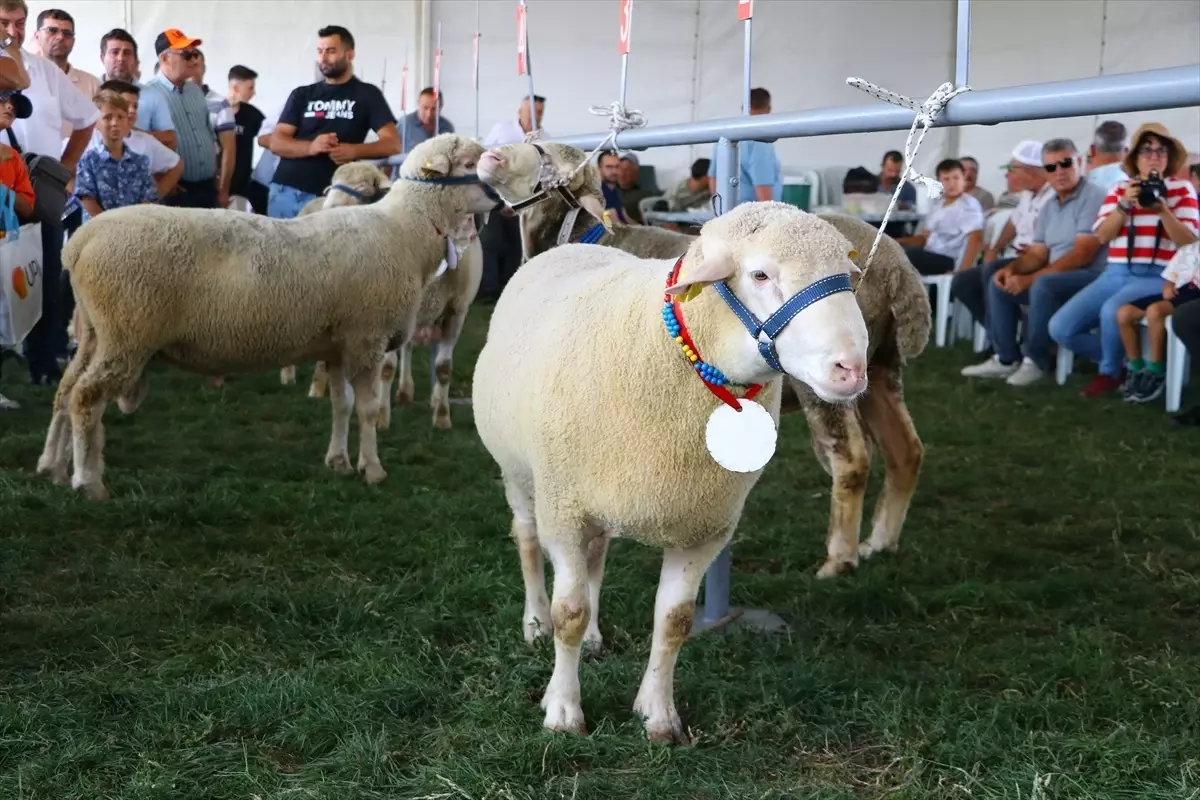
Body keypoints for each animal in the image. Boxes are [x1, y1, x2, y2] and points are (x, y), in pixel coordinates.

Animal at [35, 135, 499, 503]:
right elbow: (366, 410)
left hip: (95, 332)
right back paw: (87, 481)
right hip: (127, 332)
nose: (501, 195)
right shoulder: (367, 338)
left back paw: (52, 467)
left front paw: (338, 461)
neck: (406, 230)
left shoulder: (338, 345)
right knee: (86, 398)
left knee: (65, 392)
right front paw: (373, 468)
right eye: (469, 163)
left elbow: (341, 405)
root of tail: (80, 241)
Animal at [470, 200, 873, 743]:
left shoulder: (704, 528)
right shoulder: (565, 512)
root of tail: (564, 249)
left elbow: (675, 621)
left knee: (597, 558)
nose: (852, 369)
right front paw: (563, 712)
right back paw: (534, 623)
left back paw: (594, 636)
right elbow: (567, 613)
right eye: (760, 274)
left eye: (846, 276)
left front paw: (658, 716)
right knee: (528, 541)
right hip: (522, 474)